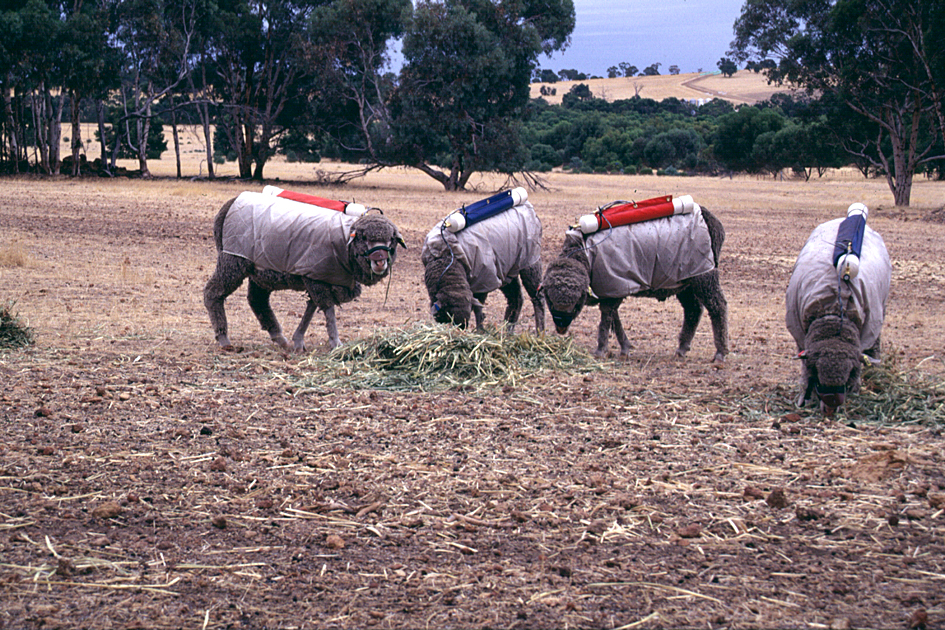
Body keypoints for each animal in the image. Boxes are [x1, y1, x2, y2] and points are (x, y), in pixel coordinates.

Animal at [203, 190, 402, 354]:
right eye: (364, 237)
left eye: (391, 239)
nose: (380, 260)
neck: (344, 241)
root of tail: (230, 204)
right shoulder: (317, 278)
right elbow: (328, 310)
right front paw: (336, 343)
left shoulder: (317, 275)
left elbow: (311, 308)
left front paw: (298, 341)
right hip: (233, 260)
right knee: (213, 292)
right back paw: (224, 338)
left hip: (261, 268)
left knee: (257, 300)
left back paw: (279, 338)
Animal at [422, 201, 544, 336]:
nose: (461, 329)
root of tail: (527, 205)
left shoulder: (484, 279)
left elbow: (478, 307)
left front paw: (480, 329)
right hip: (507, 269)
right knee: (516, 299)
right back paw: (507, 330)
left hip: (530, 261)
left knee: (538, 298)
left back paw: (540, 332)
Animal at [540, 202, 732, 360]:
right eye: (549, 300)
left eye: (576, 304)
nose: (561, 327)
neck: (585, 254)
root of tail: (711, 219)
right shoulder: (612, 288)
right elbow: (614, 319)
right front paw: (624, 348)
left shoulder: (613, 286)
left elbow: (606, 319)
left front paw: (601, 350)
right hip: (685, 278)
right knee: (693, 310)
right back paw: (682, 348)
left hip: (704, 274)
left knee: (718, 306)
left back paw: (720, 353)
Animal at [784, 205, 888, 418]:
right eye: (819, 375)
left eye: (846, 377)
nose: (831, 409)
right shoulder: (800, 335)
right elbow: (805, 370)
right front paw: (804, 398)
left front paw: (855, 391)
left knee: (876, 342)